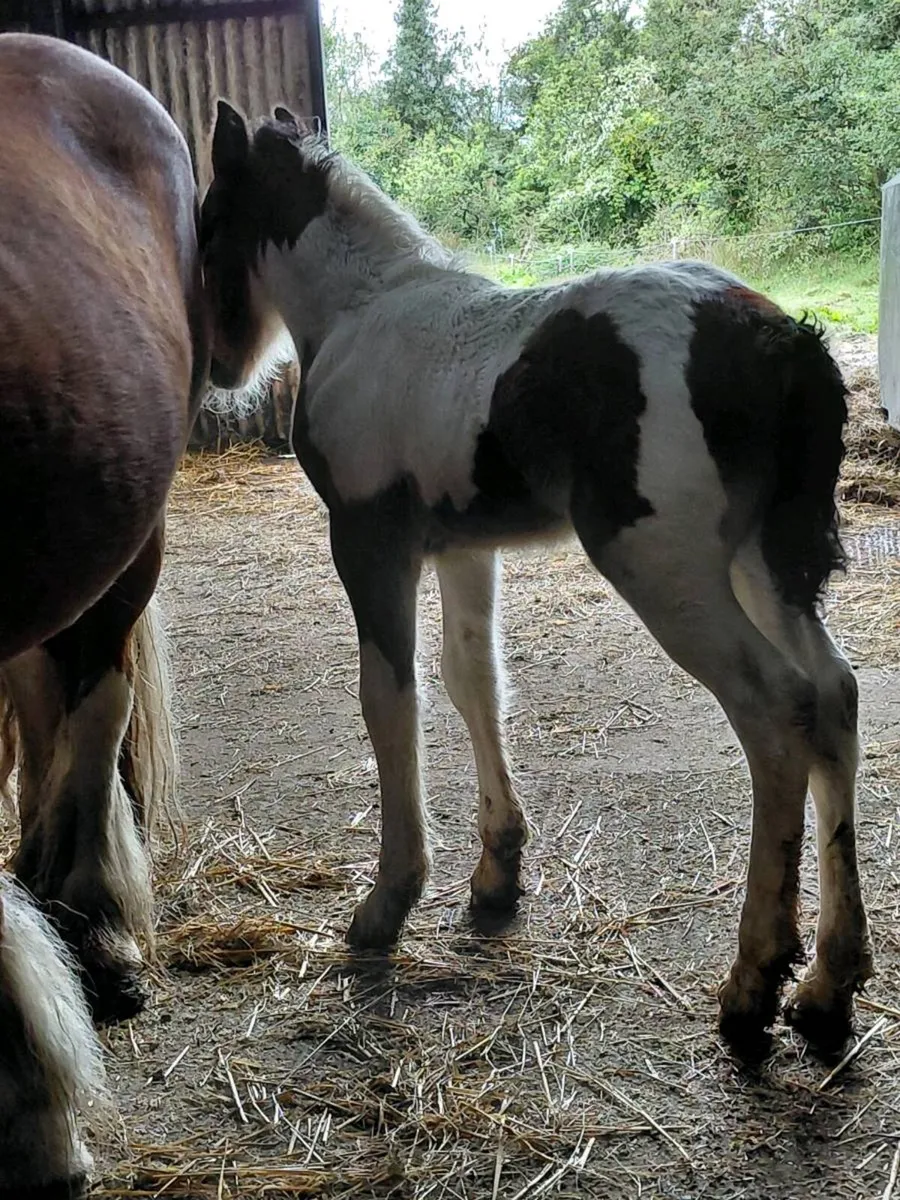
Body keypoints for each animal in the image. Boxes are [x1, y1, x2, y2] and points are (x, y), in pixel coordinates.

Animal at [199, 99, 871, 1058]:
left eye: (210, 219)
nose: (218, 364)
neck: (364, 307)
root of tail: (783, 339)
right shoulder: (462, 547)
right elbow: (473, 680)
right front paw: (496, 874)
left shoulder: (369, 539)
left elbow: (389, 696)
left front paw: (387, 902)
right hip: (763, 561)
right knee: (835, 695)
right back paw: (828, 984)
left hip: (664, 567)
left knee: (778, 709)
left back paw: (752, 982)